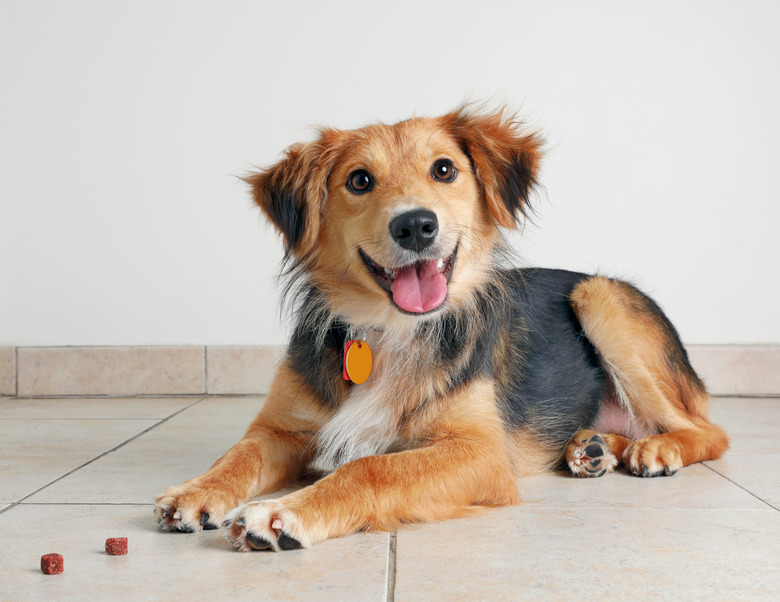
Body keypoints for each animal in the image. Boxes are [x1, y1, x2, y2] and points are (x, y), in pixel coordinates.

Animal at [155, 106, 728, 548]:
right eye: (359, 180)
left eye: (445, 169)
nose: (415, 225)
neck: (389, 331)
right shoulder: (280, 429)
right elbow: (239, 454)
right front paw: (194, 491)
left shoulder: (481, 453)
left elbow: (369, 467)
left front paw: (279, 512)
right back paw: (593, 448)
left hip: (601, 296)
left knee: (708, 431)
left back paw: (655, 449)